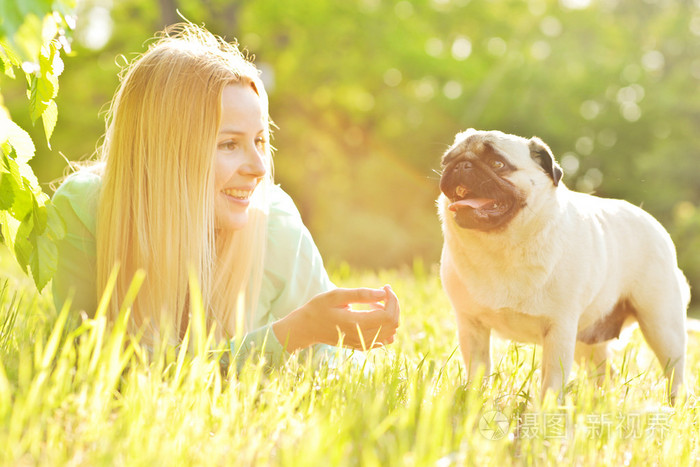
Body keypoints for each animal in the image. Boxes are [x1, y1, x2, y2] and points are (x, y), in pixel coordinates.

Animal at [438, 130, 688, 400]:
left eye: (497, 163)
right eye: (447, 161)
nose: (461, 164)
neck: (500, 247)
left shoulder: (559, 330)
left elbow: (552, 381)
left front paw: (545, 408)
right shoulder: (471, 327)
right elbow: (478, 371)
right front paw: (473, 400)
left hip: (661, 326)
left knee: (675, 374)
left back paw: (674, 403)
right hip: (586, 342)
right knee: (607, 375)